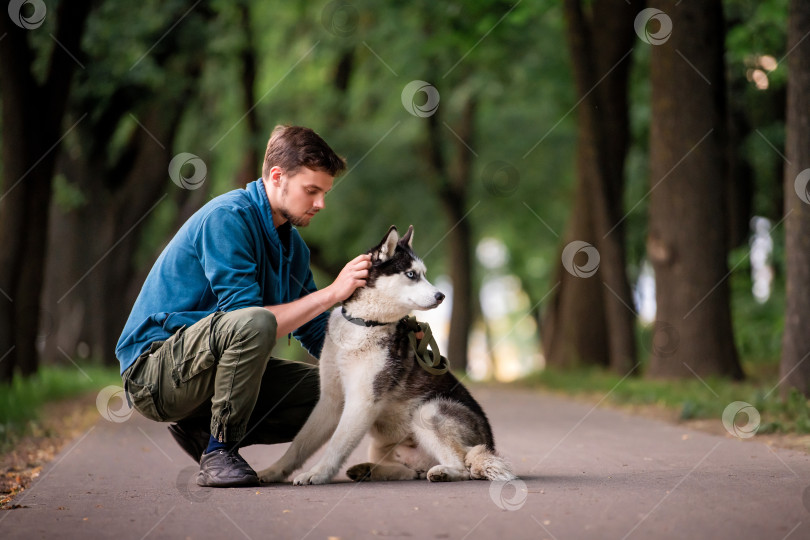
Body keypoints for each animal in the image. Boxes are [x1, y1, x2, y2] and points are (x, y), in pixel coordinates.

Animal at [258, 225, 512, 486]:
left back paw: (444, 472)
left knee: (464, 466)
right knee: (411, 472)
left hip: (428, 411)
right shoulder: (330, 400)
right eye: (411, 274)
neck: (363, 323)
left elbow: (337, 444)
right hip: (385, 445)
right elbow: (299, 444)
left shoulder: (362, 400)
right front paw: (273, 471)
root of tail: (489, 443)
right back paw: (368, 470)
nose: (441, 295)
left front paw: (317, 473)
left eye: (423, 274)